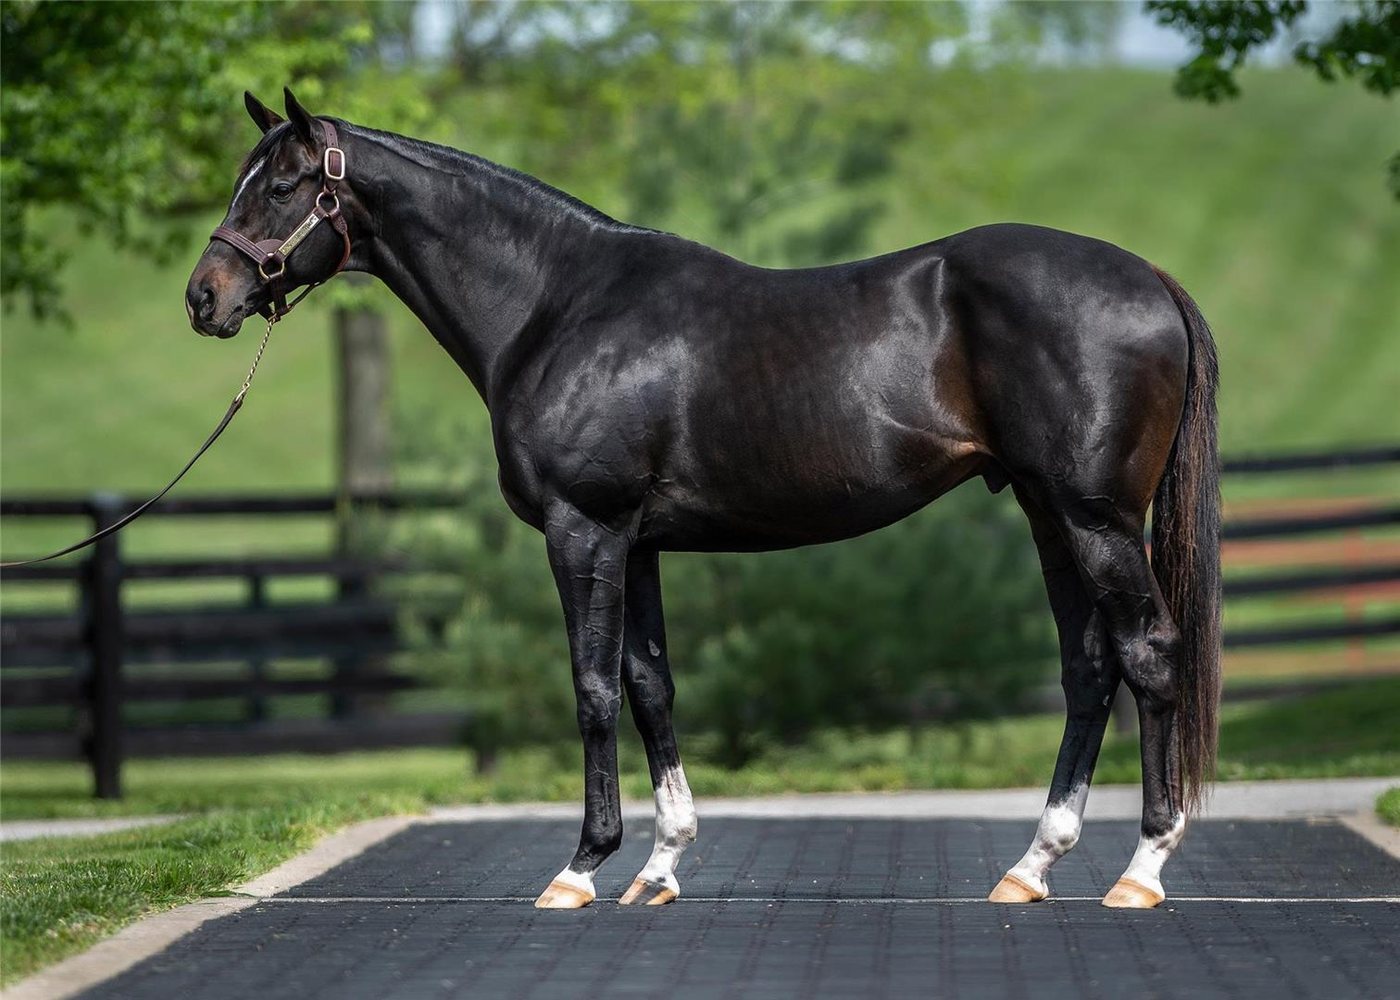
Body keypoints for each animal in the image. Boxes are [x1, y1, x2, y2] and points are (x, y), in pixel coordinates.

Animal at [188, 90, 1221, 911]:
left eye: (283, 185)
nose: (205, 297)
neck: (557, 305)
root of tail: (1149, 279)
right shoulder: (637, 542)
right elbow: (652, 686)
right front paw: (659, 866)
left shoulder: (584, 530)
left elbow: (594, 688)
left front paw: (582, 867)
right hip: (1048, 513)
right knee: (1090, 668)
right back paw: (1032, 867)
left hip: (1095, 519)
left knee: (1150, 655)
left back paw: (1142, 870)